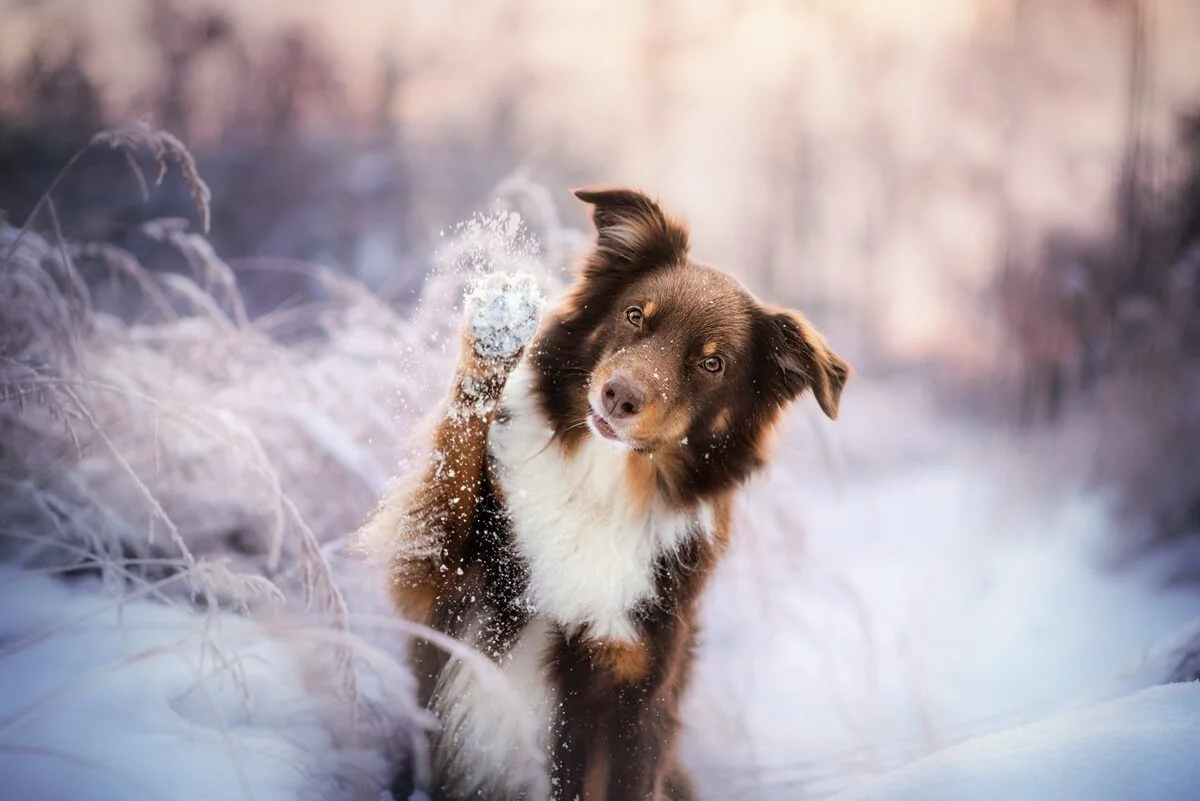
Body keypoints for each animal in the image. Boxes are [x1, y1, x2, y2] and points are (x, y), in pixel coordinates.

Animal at [369, 185, 849, 801]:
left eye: (712, 362)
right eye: (635, 315)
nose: (618, 395)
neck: (600, 491)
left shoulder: (629, 691)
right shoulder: (438, 578)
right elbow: (451, 470)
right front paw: (497, 334)